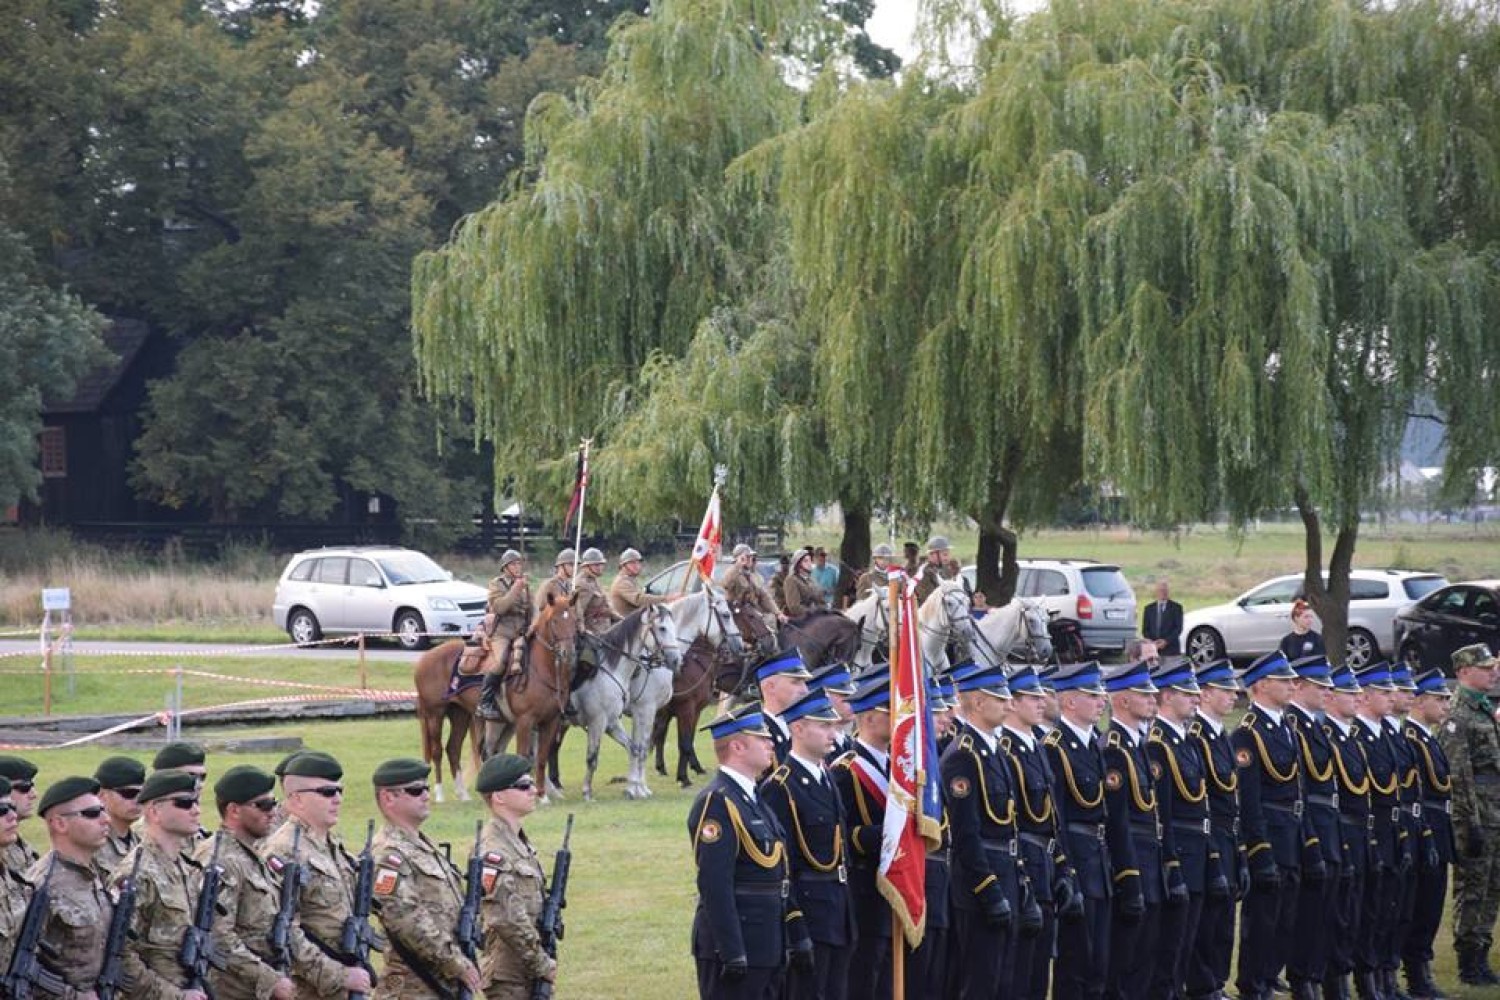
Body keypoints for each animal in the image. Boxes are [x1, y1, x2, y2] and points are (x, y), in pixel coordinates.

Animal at [480, 593, 579, 803]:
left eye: (574, 620)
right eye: (554, 621)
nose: (568, 653)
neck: (541, 670)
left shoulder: (550, 721)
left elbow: (541, 758)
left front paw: (542, 795)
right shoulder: (525, 721)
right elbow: (523, 757)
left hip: (506, 723)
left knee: (496, 752)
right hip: (491, 722)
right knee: (487, 752)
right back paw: (488, 795)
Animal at [570, 602, 684, 803]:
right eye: (662, 628)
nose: (677, 660)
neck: (610, 667)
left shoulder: (613, 721)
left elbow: (635, 748)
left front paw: (635, 789)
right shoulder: (628, 714)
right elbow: (595, 757)